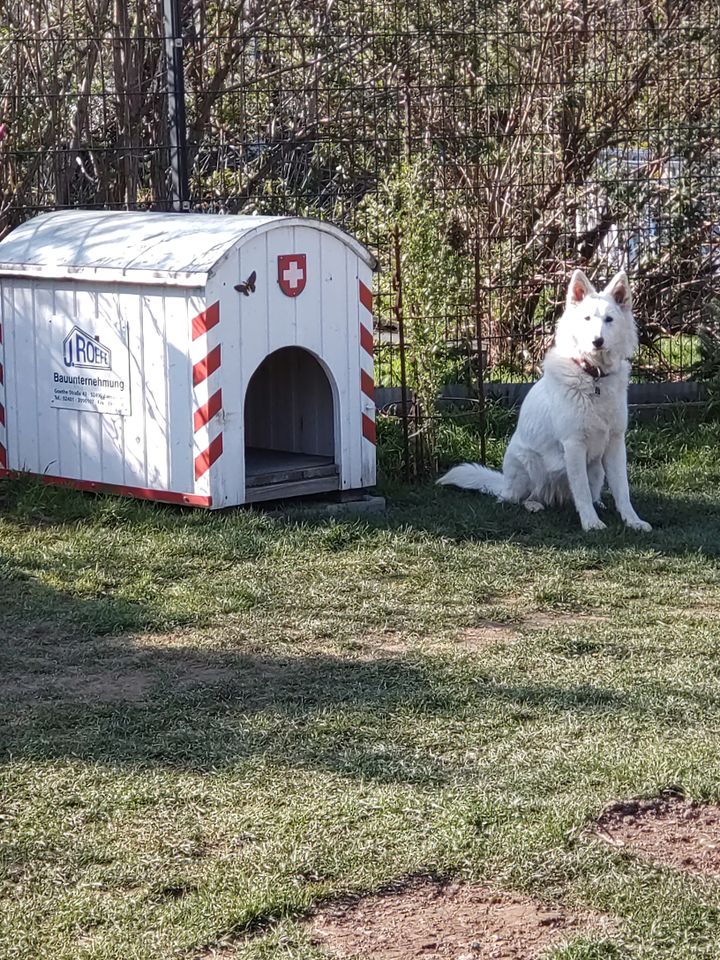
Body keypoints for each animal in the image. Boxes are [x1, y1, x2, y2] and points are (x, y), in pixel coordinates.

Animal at [438, 270, 652, 532]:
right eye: (587, 318)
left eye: (609, 319)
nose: (597, 341)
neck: (593, 377)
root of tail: (504, 483)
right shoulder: (574, 445)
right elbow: (581, 490)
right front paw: (591, 523)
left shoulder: (615, 443)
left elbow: (622, 490)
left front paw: (632, 520)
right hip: (530, 465)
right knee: (517, 499)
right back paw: (534, 504)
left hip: (597, 469)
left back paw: (598, 503)